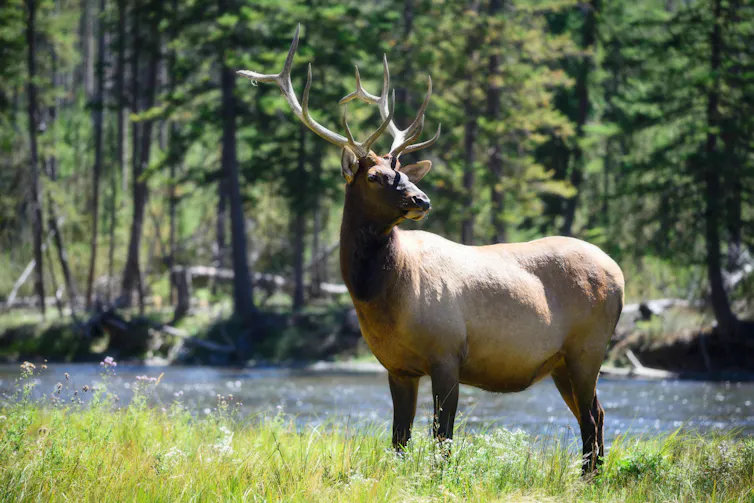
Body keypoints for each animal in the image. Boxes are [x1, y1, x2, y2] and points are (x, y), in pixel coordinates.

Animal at [238, 25, 625, 475]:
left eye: (400, 170)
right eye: (374, 175)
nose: (421, 199)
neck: (380, 298)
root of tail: (619, 272)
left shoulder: (446, 355)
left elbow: (443, 439)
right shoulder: (397, 367)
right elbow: (399, 439)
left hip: (587, 349)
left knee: (591, 418)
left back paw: (588, 478)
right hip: (563, 362)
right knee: (596, 414)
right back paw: (592, 477)